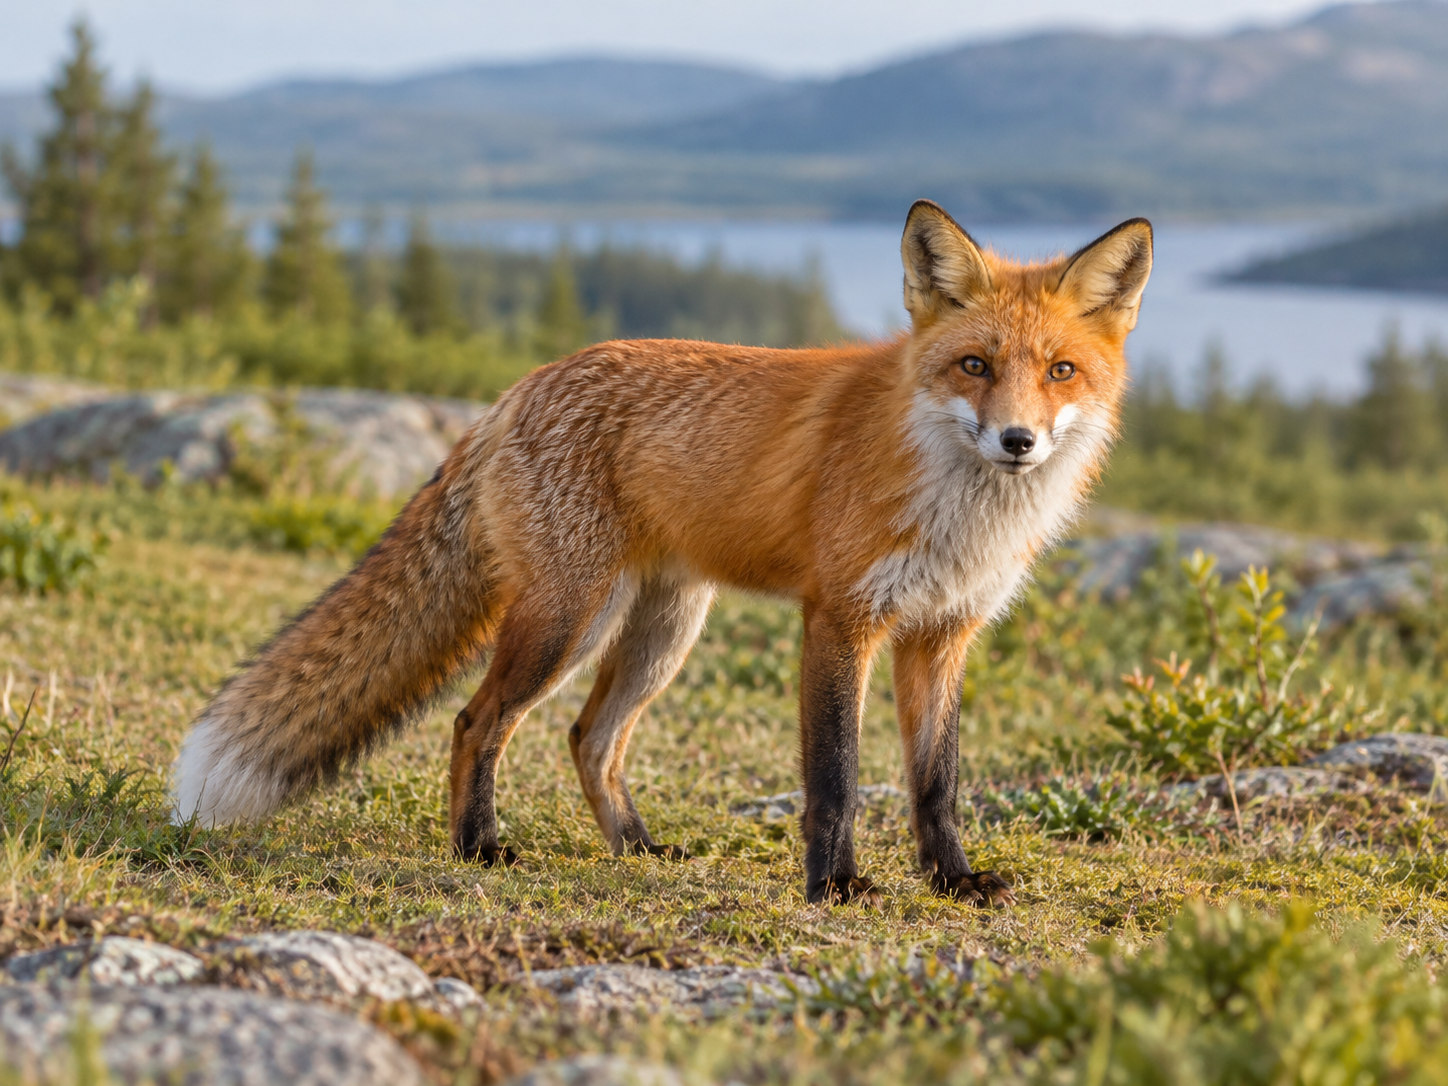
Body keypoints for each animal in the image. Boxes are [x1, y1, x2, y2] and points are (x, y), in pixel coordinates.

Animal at [172, 200, 1152, 905]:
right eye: (975, 366)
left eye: (1060, 371)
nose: (1018, 441)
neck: (956, 507)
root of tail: (515, 393)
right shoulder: (840, 620)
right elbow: (834, 777)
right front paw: (834, 886)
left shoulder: (943, 633)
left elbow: (935, 782)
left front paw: (952, 880)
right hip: (567, 621)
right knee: (477, 721)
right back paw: (480, 848)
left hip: (661, 630)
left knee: (589, 740)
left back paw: (638, 851)